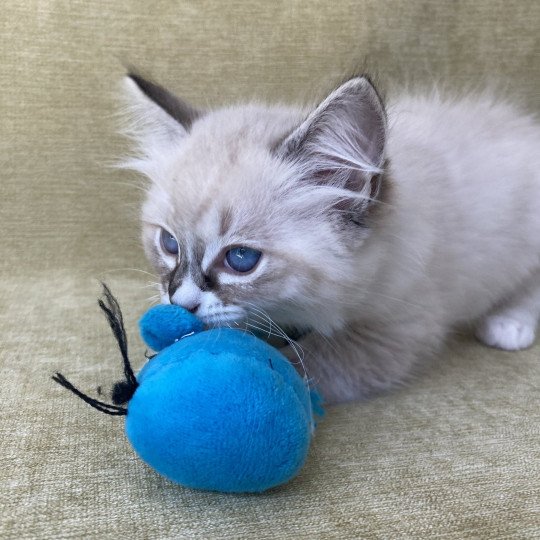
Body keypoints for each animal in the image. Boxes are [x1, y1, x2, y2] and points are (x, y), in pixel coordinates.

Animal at [121, 71, 540, 402]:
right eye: (169, 244)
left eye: (240, 259)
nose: (178, 301)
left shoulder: (396, 332)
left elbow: (304, 362)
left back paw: (508, 325)